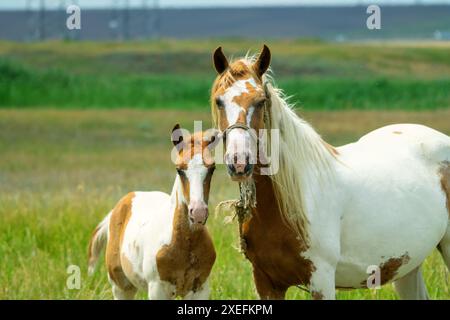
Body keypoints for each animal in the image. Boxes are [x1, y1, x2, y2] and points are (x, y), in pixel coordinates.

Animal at [87, 125, 218, 300]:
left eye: (212, 169)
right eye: (179, 170)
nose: (198, 213)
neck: (186, 243)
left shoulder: (201, 288)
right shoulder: (157, 289)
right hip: (121, 286)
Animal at [210, 45, 450, 300]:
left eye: (260, 101)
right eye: (219, 101)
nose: (239, 162)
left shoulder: (322, 279)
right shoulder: (266, 282)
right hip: (407, 265)